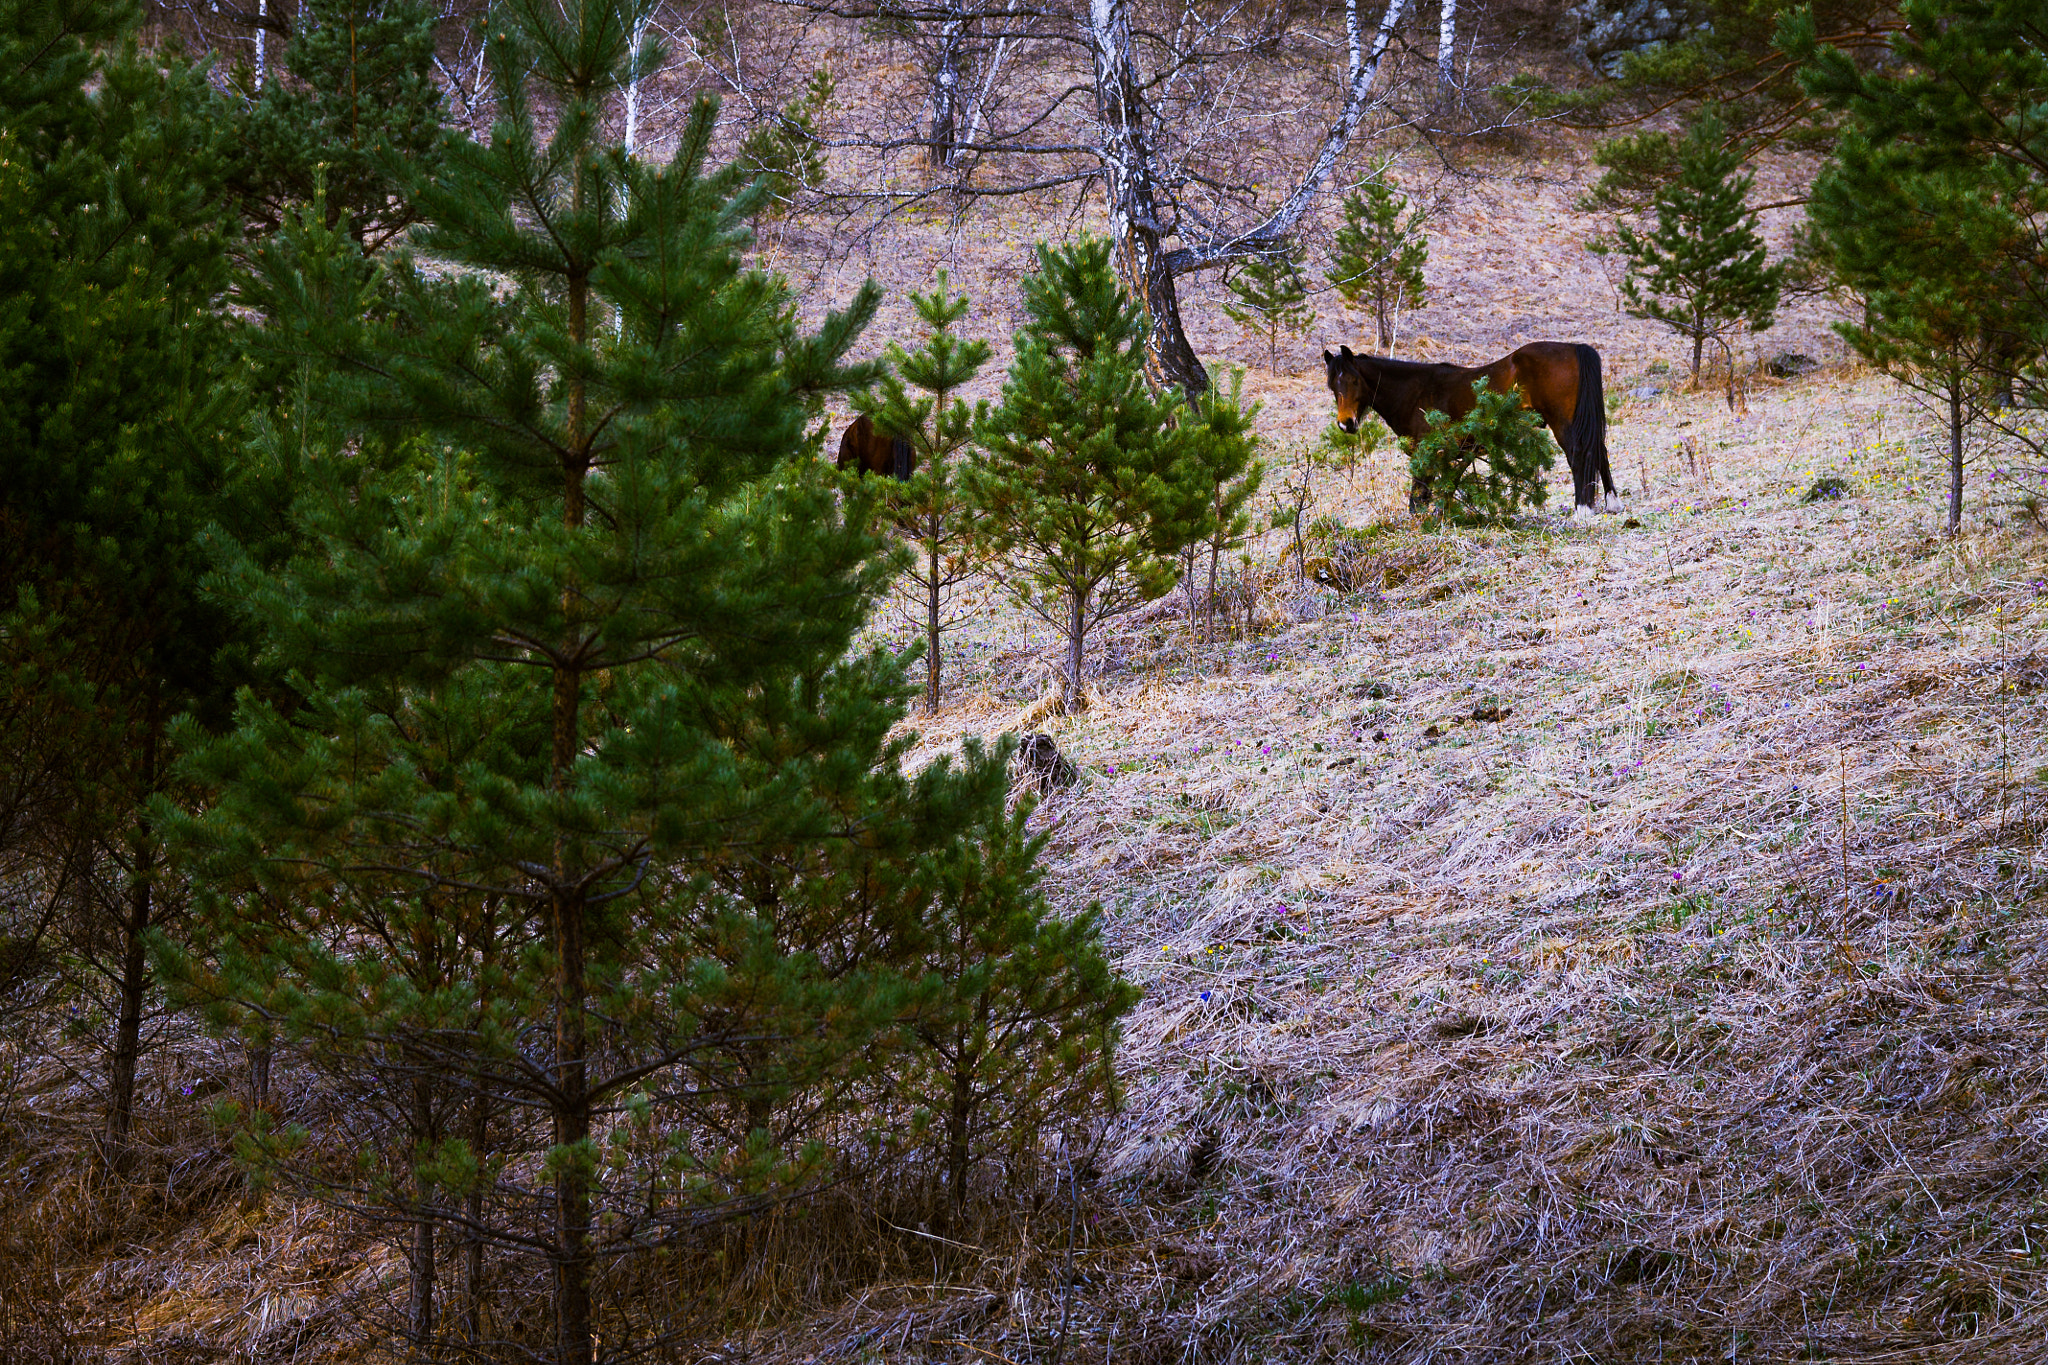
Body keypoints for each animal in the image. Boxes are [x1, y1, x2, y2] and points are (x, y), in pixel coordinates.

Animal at [1323, 341, 1619, 516]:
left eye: (1354, 380)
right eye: (1332, 385)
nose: (1345, 423)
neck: (1416, 392)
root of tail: (1574, 347)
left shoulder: (1425, 452)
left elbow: (1419, 495)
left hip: (1563, 422)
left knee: (1579, 454)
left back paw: (1582, 509)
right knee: (1600, 451)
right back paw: (1613, 502)